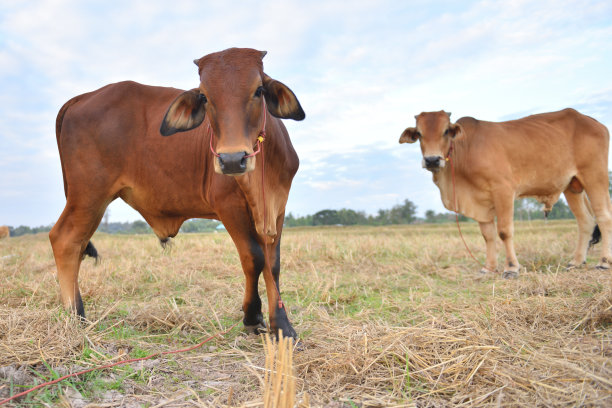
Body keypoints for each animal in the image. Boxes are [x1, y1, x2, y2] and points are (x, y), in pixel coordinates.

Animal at [49, 47, 306, 338]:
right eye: (204, 96)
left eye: (259, 90)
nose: (231, 160)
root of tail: (82, 97)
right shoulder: (229, 205)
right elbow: (254, 258)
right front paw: (252, 316)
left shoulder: (277, 206)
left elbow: (273, 263)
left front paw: (282, 325)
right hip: (89, 195)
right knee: (65, 240)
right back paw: (76, 317)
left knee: (78, 244)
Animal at [400, 109, 608, 278]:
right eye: (419, 133)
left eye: (445, 131)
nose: (432, 160)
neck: (467, 149)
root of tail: (592, 121)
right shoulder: (480, 201)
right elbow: (488, 235)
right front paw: (488, 268)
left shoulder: (503, 190)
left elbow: (504, 232)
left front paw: (511, 268)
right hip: (571, 186)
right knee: (586, 221)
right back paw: (576, 262)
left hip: (595, 176)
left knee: (604, 217)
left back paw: (604, 263)